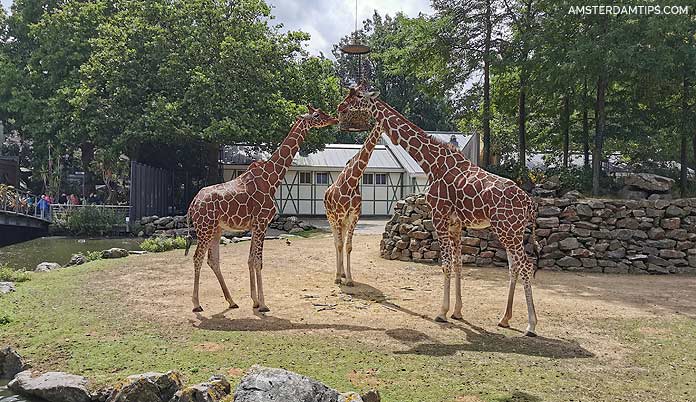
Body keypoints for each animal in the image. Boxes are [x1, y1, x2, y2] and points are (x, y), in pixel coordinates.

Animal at [184, 107, 338, 314]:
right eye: (317, 115)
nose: (334, 119)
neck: (272, 179)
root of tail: (193, 203)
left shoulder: (255, 225)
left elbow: (250, 259)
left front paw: (255, 301)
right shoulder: (262, 222)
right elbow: (258, 261)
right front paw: (263, 304)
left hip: (216, 229)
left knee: (213, 260)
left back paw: (231, 301)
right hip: (205, 228)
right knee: (197, 257)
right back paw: (196, 304)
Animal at [324, 124, 380, 284]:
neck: (353, 179)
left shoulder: (354, 216)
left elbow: (348, 246)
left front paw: (349, 278)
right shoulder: (338, 216)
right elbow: (339, 244)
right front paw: (337, 277)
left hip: (344, 222)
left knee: (341, 242)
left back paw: (343, 273)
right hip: (331, 219)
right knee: (336, 242)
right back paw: (338, 274)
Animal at [338, 85, 544, 336]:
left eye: (357, 97)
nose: (339, 107)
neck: (431, 163)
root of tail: (529, 203)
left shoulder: (439, 216)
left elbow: (445, 264)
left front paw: (442, 313)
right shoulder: (456, 223)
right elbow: (457, 263)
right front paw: (457, 311)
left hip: (508, 230)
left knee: (526, 266)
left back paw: (531, 325)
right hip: (512, 232)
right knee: (514, 267)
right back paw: (504, 318)